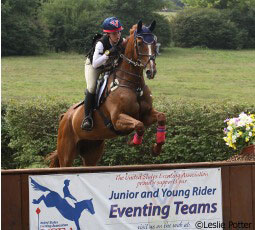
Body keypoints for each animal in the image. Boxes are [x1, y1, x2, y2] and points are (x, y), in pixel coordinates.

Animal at [48, 20, 166, 167]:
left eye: (154, 43)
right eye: (139, 43)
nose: (151, 71)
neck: (134, 86)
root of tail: (65, 116)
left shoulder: (146, 114)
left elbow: (161, 117)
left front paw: (156, 148)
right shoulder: (117, 119)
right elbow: (139, 125)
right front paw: (133, 142)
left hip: (92, 149)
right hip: (66, 152)